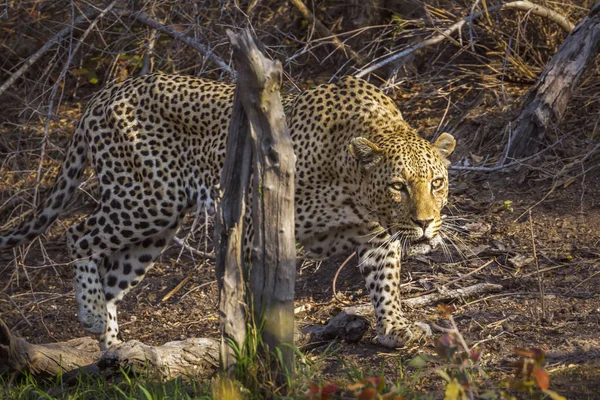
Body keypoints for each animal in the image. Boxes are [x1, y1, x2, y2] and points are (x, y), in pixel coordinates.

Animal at [0, 73, 454, 348]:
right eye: (398, 186)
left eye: (436, 182)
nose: (425, 223)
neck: (353, 186)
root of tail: (106, 92)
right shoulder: (257, 227)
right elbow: (260, 295)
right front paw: (262, 344)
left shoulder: (378, 237)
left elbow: (386, 283)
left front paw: (395, 328)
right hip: (146, 200)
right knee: (78, 233)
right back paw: (93, 315)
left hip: (155, 228)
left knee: (113, 278)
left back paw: (113, 351)